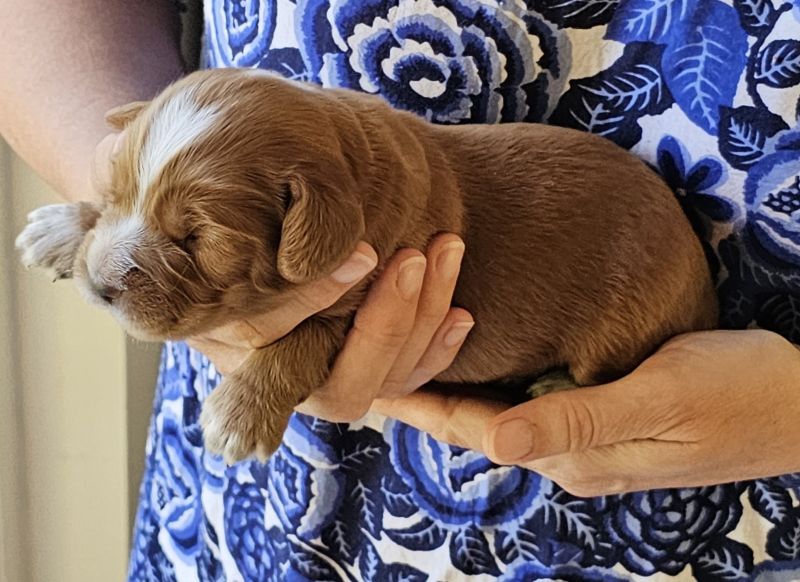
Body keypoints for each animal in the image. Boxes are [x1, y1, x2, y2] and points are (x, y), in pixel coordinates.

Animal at [15, 66, 720, 464]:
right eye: (115, 192)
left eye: (195, 239)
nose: (102, 284)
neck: (355, 169)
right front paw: (63, 227)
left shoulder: (365, 295)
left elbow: (300, 339)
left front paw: (239, 417)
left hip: (626, 321)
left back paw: (554, 386)